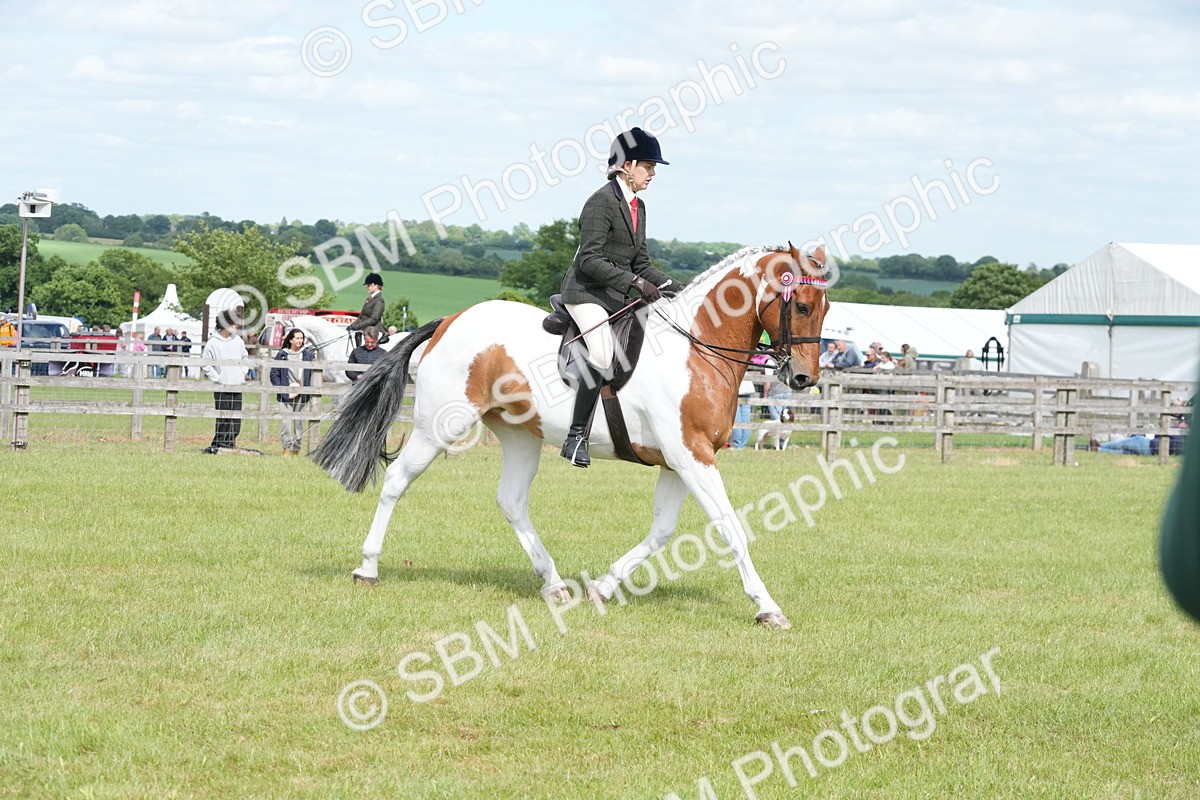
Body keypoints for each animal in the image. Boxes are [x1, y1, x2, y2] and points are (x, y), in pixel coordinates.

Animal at [312, 243, 830, 629]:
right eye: (802, 305)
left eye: (825, 308)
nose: (803, 379)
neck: (696, 348)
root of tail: (452, 320)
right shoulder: (691, 456)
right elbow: (729, 527)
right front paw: (767, 608)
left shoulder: (680, 460)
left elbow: (662, 531)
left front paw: (603, 586)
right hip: (440, 424)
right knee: (398, 480)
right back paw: (367, 567)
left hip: (520, 432)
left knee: (511, 500)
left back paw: (555, 583)